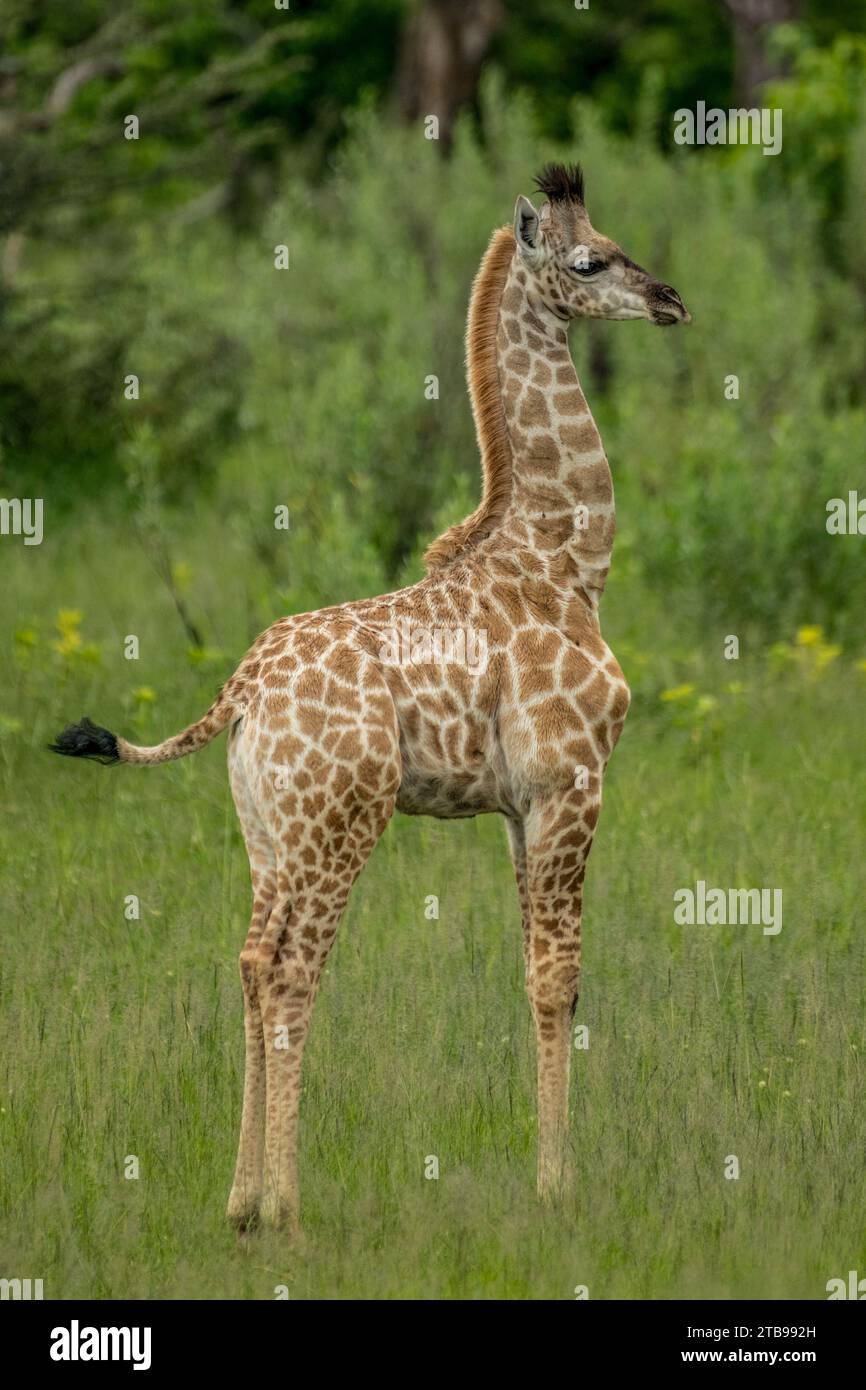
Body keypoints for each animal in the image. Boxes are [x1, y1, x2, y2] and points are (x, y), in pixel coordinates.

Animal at [51, 163, 690, 1233]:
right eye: (590, 260)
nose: (670, 302)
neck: (568, 563)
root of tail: (240, 691)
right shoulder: (572, 782)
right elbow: (560, 981)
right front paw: (559, 1188)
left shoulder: (517, 807)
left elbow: (532, 974)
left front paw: (544, 1174)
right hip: (340, 823)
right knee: (292, 971)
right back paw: (287, 1210)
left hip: (269, 832)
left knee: (250, 963)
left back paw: (238, 1202)